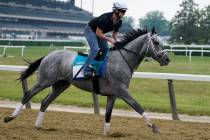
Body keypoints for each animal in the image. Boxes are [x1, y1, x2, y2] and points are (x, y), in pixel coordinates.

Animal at [4, 27, 170, 136]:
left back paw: (38, 125)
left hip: (61, 85)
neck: (122, 60)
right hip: (44, 81)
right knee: (28, 95)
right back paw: (10, 118)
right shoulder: (122, 91)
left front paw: (106, 133)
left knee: (45, 101)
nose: (167, 59)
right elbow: (138, 106)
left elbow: (108, 114)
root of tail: (49, 55)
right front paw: (154, 127)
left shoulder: (113, 95)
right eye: (156, 42)